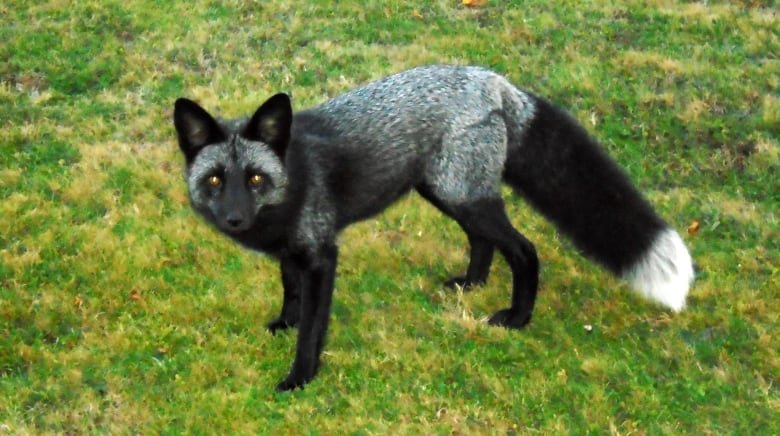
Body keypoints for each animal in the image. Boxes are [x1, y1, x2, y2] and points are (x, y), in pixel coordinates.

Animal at [172, 63, 696, 390]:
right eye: (215, 180)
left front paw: (300, 377)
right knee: (483, 241)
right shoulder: (292, 251)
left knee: (524, 249)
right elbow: (290, 290)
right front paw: (286, 321)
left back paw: (517, 318)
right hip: (446, 192)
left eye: (255, 179)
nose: (234, 219)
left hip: (462, 195)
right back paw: (472, 284)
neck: (293, 181)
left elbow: (314, 331)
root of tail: (493, 80)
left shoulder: (322, 255)